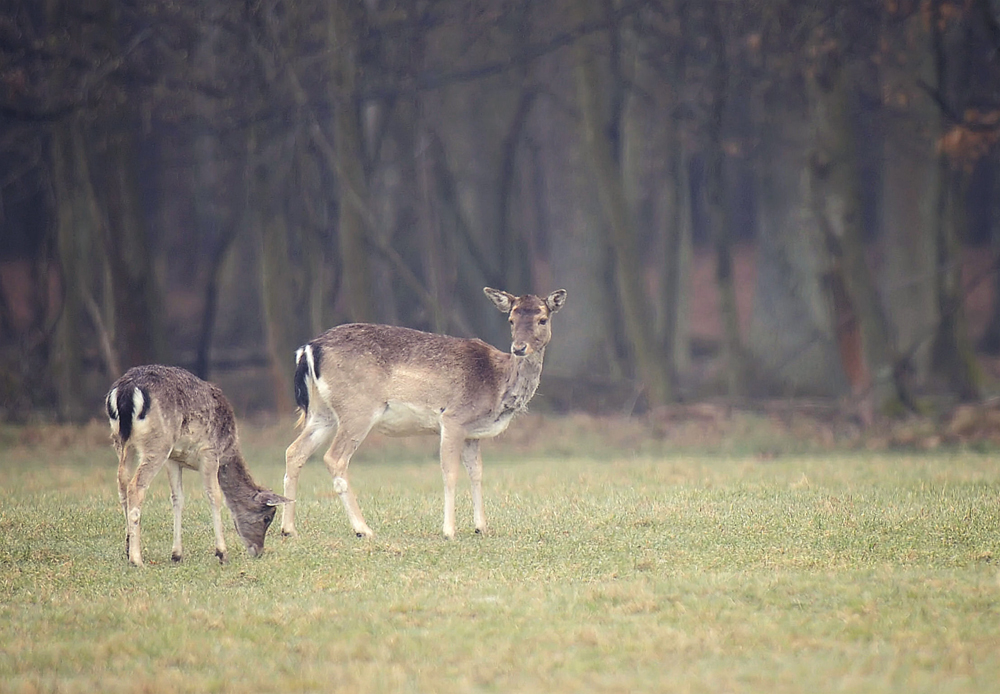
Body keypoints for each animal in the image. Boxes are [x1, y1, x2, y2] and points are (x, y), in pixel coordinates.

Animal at [108, 368, 290, 568]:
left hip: (122, 441)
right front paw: (222, 553)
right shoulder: (209, 452)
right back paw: (136, 559)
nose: (258, 551)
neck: (228, 449)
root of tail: (125, 392)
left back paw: (127, 549)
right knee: (135, 486)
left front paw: (177, 555)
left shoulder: (173, 459)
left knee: (122, 483)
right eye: (267, 517)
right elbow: (214, 496)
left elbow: (177, 499)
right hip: (158, 444)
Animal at [282, 286, 568, 540]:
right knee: (334, 458)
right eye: (511, 319)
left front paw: (482, 528)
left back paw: (289, 529)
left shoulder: (473, 433)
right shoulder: (453, 418)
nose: (519, 347)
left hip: (323, 414)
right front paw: (449, 531)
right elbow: (449, 472)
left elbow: (476, 473)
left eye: (542, 319)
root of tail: (308, 349)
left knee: (294, 451)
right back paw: (363, 530)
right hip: (357, 409)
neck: (498, 386)